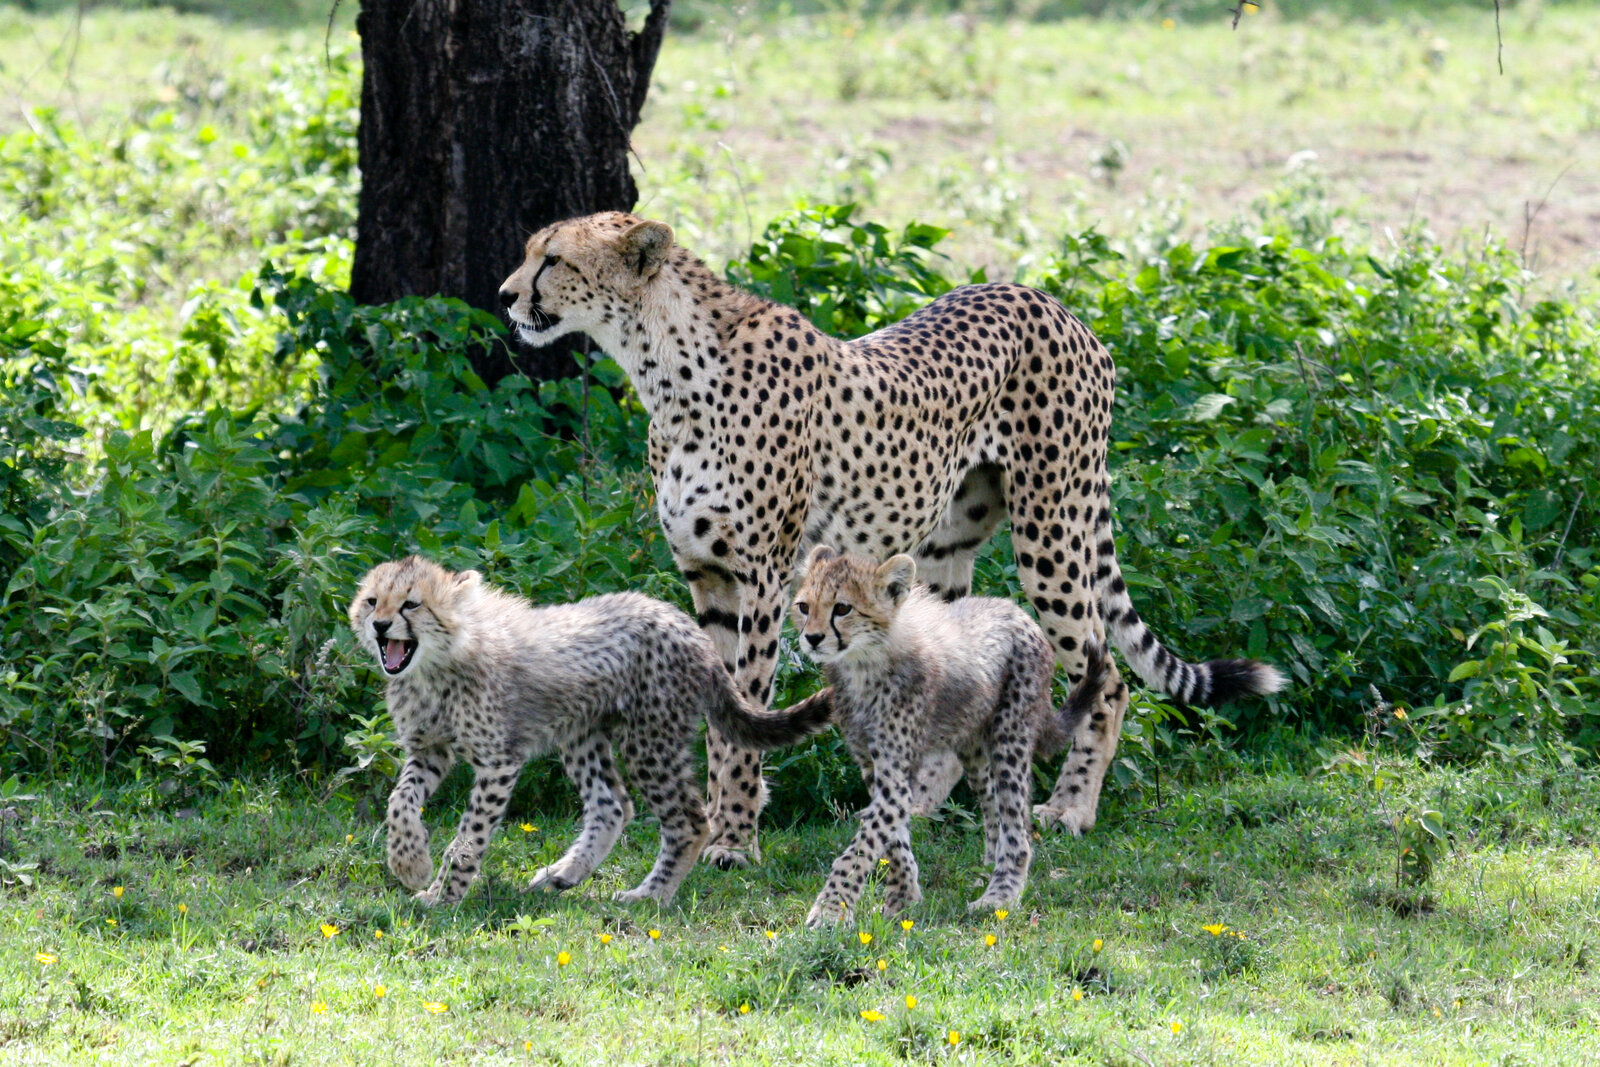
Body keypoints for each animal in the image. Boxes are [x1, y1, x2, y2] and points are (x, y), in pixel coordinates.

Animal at [348, 556, 831, 906]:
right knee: (613, 805)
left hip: (648, 740)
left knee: (690, 819)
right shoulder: (428, 751)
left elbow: (469, 835)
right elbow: (399, 800)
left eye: (411, 604)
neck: (435, 665)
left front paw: (442, 894)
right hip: (581, 734)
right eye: (372, 601)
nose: (379, 624)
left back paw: (648, 896)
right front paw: (410, 863)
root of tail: (686, 625)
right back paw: (562, 875)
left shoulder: (499, 760)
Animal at [498, 211, 1285, 867]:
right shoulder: (707, 576)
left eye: (553, 259)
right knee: (955, 681)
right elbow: (725, 710)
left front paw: (734, 839)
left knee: (1109, 675)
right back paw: (912, 805)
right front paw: (726, 824)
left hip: (1053, 527)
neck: (666, 368)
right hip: (945, 548)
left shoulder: (764, 578)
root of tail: (1055, 303)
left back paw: (1069, 808)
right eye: (533, 251)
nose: (505, 296)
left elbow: (748, 705)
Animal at [789, 545, 1108, 926]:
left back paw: (1000, 894)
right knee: (991, 803)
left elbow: (862, 845)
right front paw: (903, 898)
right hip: (972, 746)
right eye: (804, 607)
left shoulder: (894, 772)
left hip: (1011, 739)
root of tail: (1017, 610)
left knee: (1018, 827)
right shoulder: (873, 766)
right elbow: (893, 838)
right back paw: (989, 862)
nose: (812, 638)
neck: (863, 663)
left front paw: (831, 908)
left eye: (842, 608)